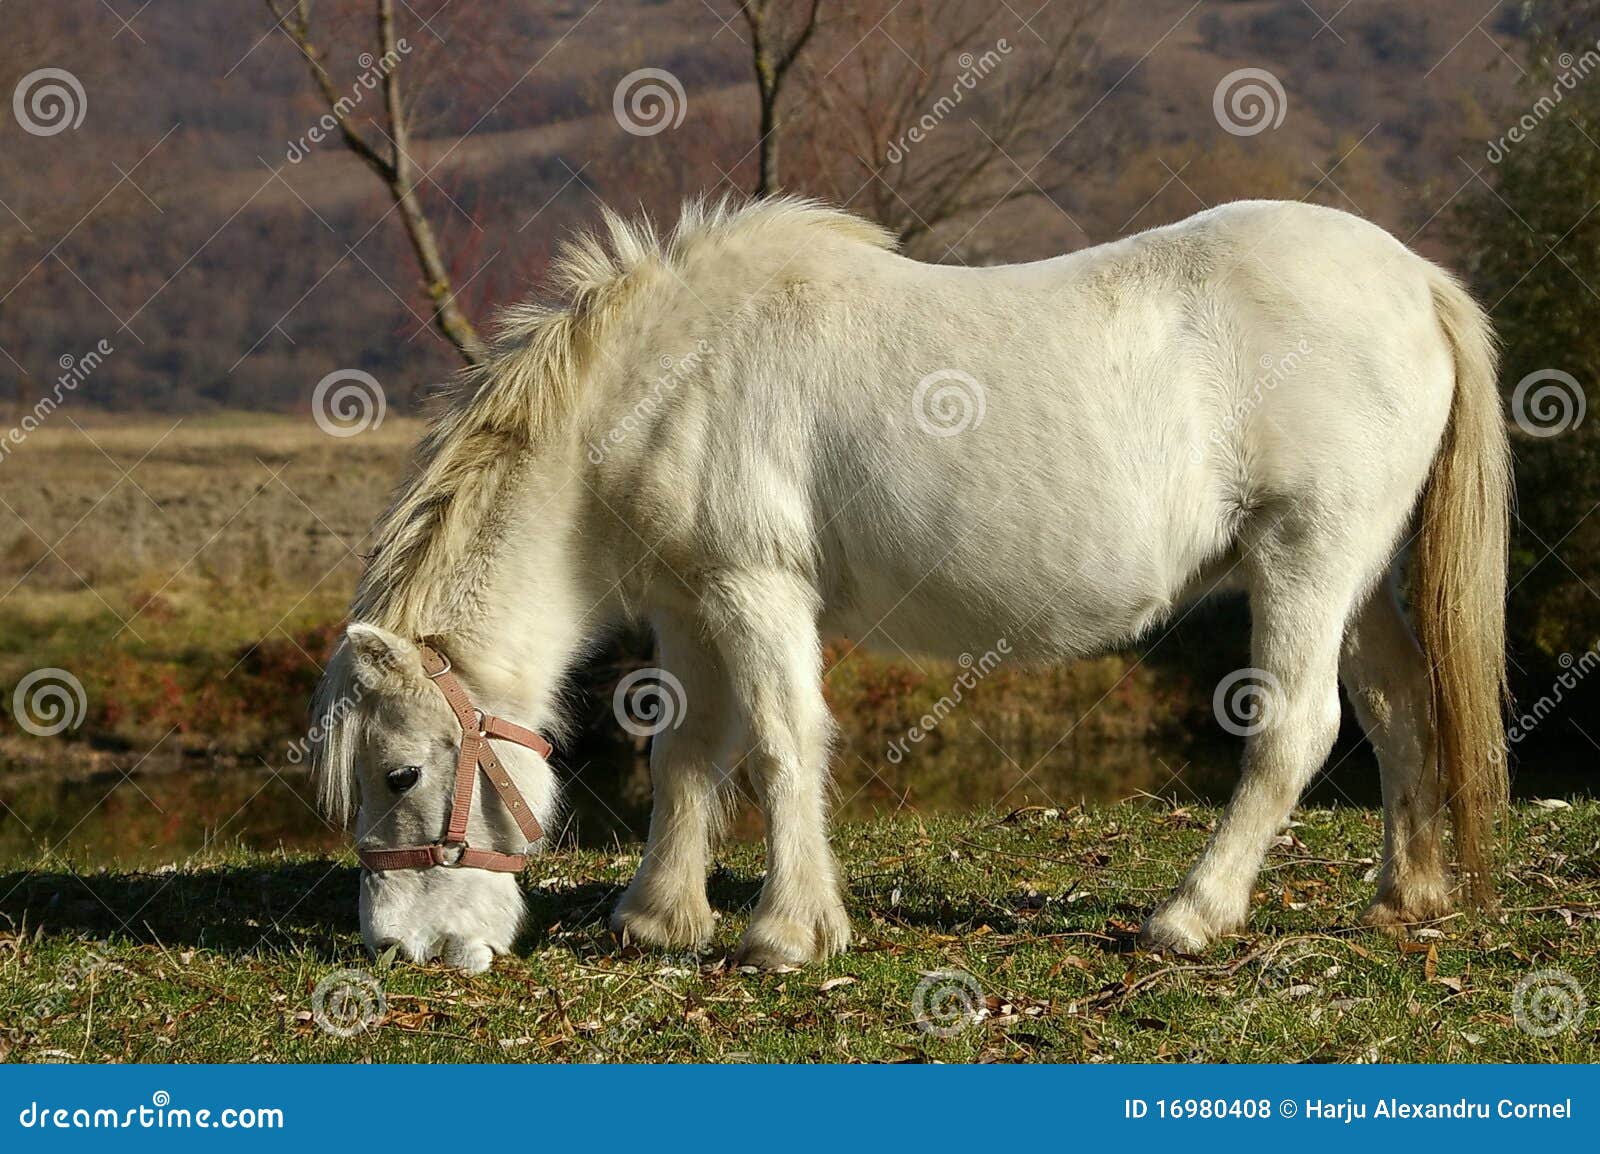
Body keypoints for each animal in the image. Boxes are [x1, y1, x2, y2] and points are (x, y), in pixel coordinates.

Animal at [309, 196, 1510, 973]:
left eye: (402, 771)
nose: (403, 949)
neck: (668, 377)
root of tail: (1416, 280)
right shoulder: (690, 603)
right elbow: (686, 749)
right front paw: (659, 918)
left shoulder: (754, 585)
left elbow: (781, 740)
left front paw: (788, 932)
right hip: (1353, 573)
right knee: (1399, 703)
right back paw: (1408, 895)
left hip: (1304, 554)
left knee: (1295, 729)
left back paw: (1192, 915)